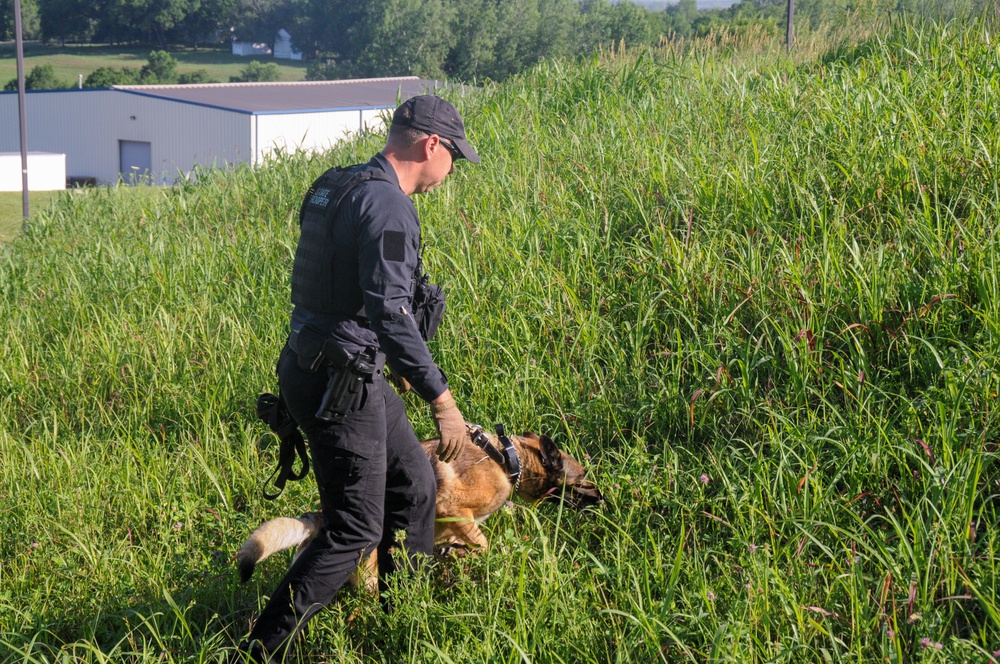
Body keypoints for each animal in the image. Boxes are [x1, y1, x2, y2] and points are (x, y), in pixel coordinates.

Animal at [236, 426, 600, 588]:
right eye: (583, 476)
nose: (603, 498)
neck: (507, 458)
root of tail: (325, 519)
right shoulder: (453, 508)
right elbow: (482, 544)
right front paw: (467, 554)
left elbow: (462, 544)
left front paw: (455, 555)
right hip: (370, 580)